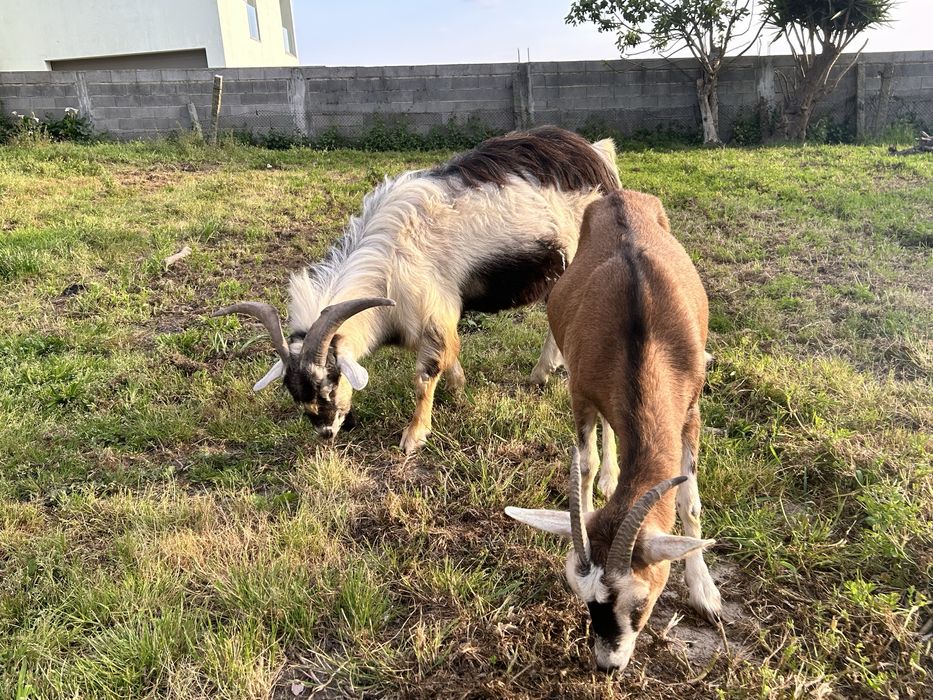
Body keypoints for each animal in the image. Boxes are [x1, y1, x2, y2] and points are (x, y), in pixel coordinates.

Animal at [213, 127, 620, 453]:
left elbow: (426, 376)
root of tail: (597, 154)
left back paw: (543, 373)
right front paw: (459, 390)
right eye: (295, 395)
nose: (328, 431)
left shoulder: (430, 309)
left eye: (331, 380)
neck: (390, 256)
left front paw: (414, 436)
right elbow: (451, 357)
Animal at [506, 189, 722, 672]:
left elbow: (690, 500)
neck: (645, 331)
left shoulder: (691, 410)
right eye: (583, 598)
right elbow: (582, 465)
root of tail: (621, 196)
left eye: (639, 602)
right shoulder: (582, 397)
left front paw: (705, 591)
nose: (608, 664)